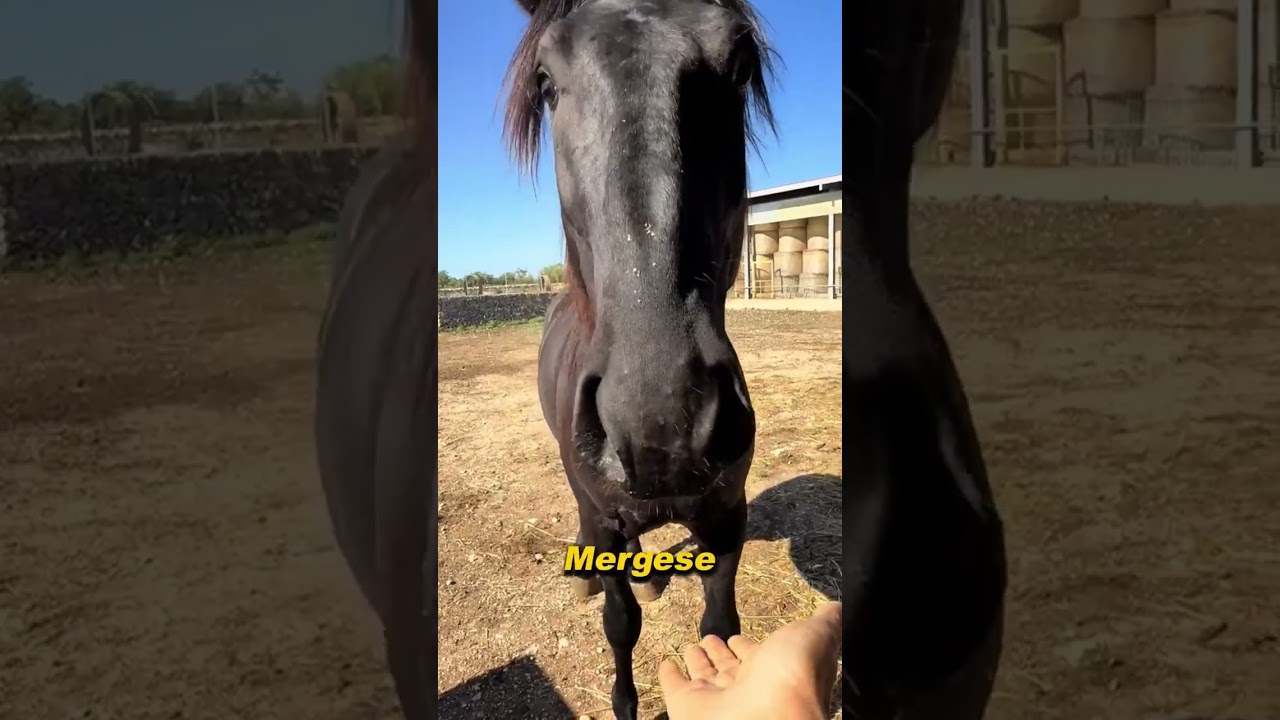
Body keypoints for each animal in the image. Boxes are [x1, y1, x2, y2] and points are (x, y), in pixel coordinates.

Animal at [503, 0, 776, 717]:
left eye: (741, 64)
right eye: (546, 81)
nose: (662, 428)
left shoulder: (727, 515)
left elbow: (721, 630)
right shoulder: (604, 510)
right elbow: (621, 624)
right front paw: (624, 701)